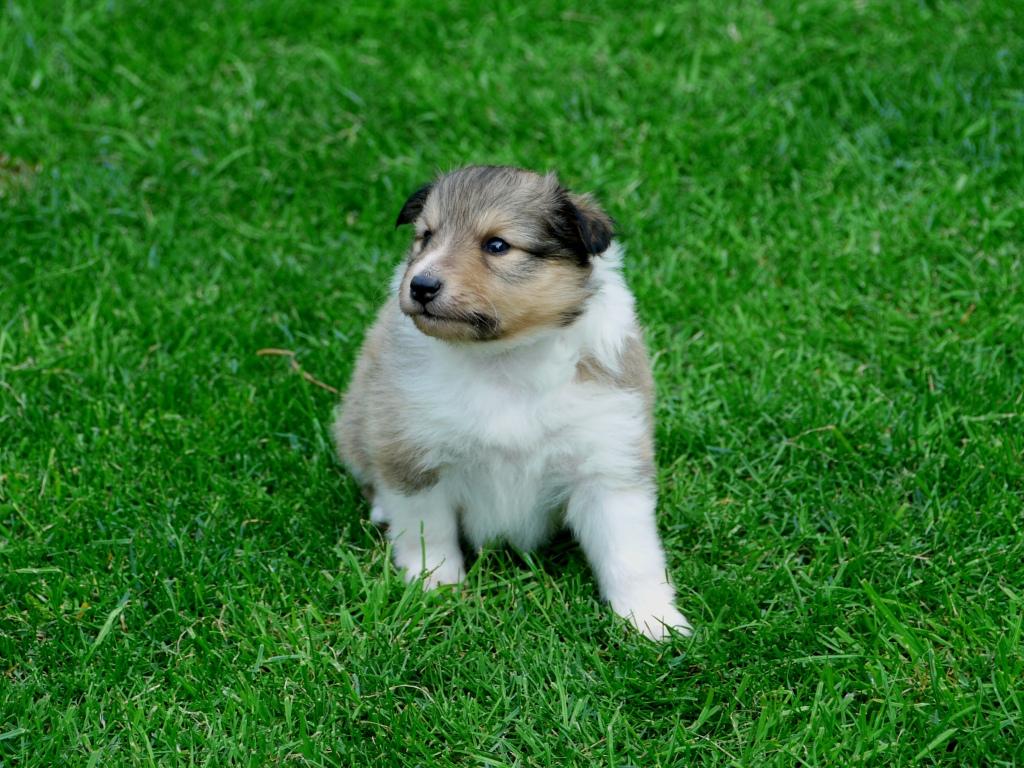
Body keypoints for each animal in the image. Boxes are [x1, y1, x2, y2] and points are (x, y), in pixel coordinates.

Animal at [332, 165, 692, 640]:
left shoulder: (608, 459)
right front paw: (437, 591)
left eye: (497, 245)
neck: (503, 360)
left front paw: (652, 621)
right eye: (426, 236)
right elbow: (429, 532)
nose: (421, 285)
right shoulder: (414, 453)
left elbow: (630, 553)